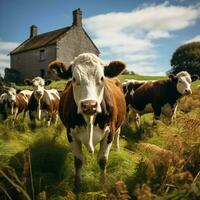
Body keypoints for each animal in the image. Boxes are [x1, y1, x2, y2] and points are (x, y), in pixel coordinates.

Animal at [48, 52, 126, 190]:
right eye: (74, 79)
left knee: (118, 134)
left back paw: (117, 149)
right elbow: (78, 160)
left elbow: (102, 160)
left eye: (102, 78)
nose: (89, 105)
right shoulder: (71, 133)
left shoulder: (109, 132)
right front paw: (77, 185)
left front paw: (102, 184)